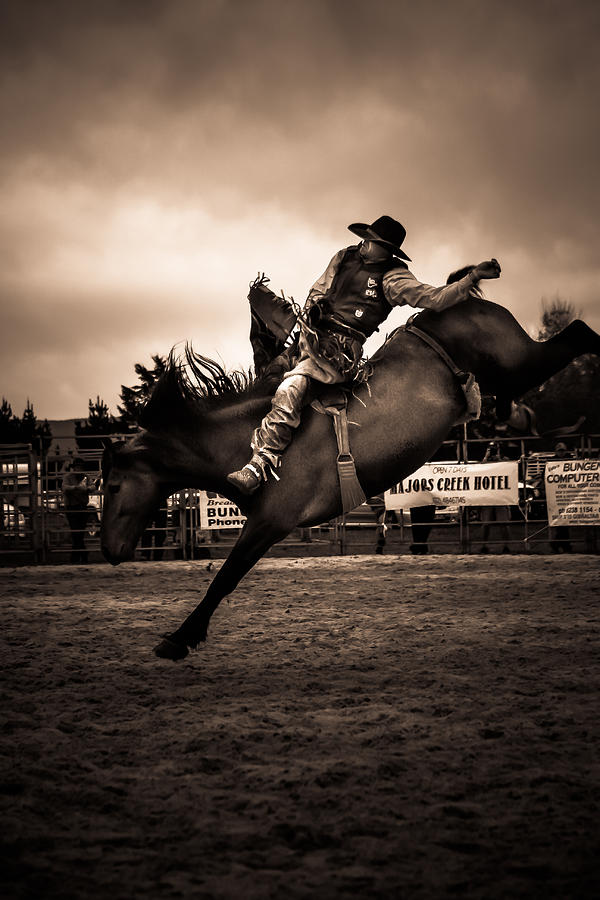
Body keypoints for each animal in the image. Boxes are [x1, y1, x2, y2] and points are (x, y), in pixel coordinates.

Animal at [99, 298, 600, 660]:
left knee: (578, 331)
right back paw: (515, 413)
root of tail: (464, 299)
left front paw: (179, 638)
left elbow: (223, 579)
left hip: (520, 359)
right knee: (526, 383)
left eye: (114, 486)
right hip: (510, 372)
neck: (245, 444)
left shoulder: (269, 523)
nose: (108, 551)